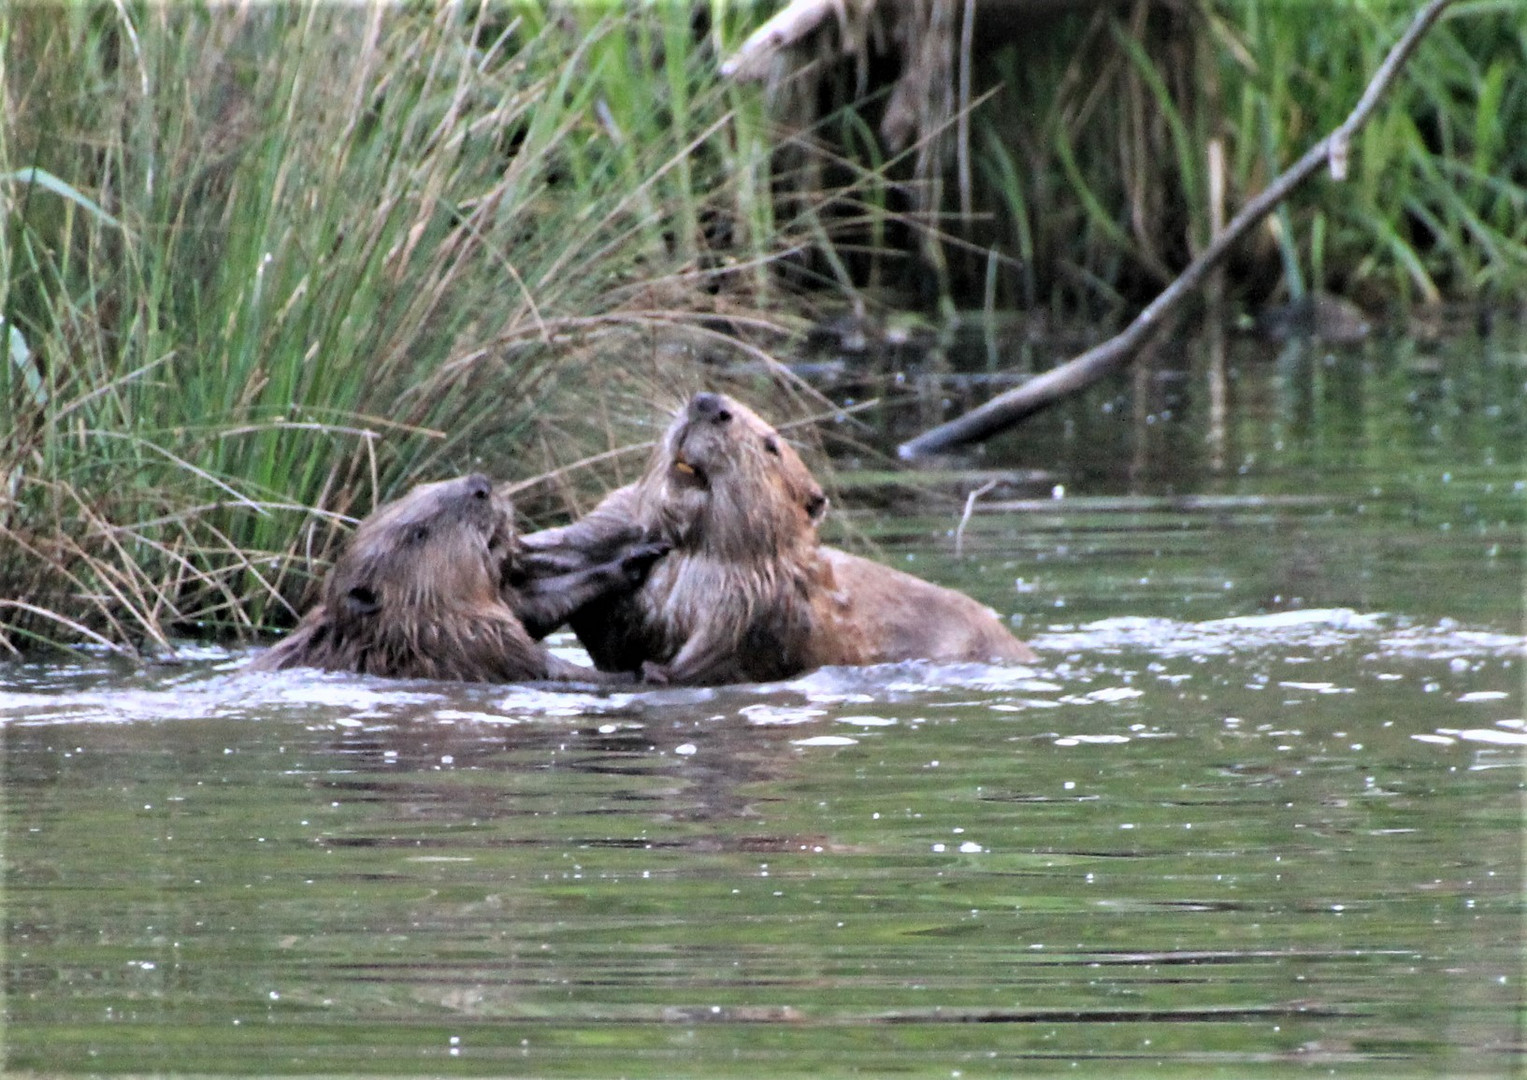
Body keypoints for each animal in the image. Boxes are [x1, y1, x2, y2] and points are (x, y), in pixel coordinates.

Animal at [253, 476, 665, 684]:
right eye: (417, 533)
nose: (480, 485)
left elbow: (527, 607)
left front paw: (636, 558)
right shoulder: (471, 644)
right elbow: (540, 665)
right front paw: (637, 675)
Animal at [522, 394, 1038, 684]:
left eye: (771, 444)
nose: (708, 402)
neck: (691, 551)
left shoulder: (756, 593)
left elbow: (723, 643)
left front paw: (660, 669)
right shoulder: (615, 517)